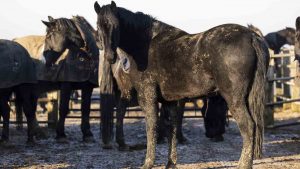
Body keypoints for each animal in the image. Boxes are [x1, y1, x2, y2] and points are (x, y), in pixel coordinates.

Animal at [41, 15, 99, 143]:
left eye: (49, 37)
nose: (46, 62)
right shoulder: (66, 85)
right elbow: (63, 109)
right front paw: (61, 135)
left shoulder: (88, 87)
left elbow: (85, 109)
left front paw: (87, 134)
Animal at [94, 1, 268, 169]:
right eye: (98, 26)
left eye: (116, 25)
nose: (110, 56)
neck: (146, 45)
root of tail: (251, 36)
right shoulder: (170, 101)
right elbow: (171, 128)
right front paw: (171, 163)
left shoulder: (147, 96)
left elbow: (152, 127)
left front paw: (148, 163)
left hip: (234, 98)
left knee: (248, 126)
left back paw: (243, 164)